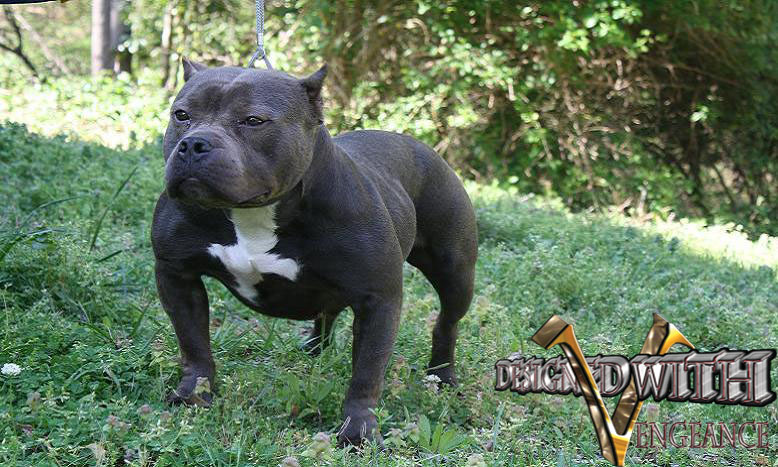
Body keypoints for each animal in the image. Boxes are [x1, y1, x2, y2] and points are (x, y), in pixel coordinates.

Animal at [151, 58, 477, 445]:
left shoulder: (379, 298)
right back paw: (313, 349)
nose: (194, 144)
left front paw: (358, 429)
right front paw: (193, 394)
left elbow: (367, 371)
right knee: (328, 309)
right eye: (181, 115)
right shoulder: (176, 273)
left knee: (447, 321)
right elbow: (194, 342)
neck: (253, 214)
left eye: (253, 121)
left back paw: (442, 375)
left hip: (454, 271)